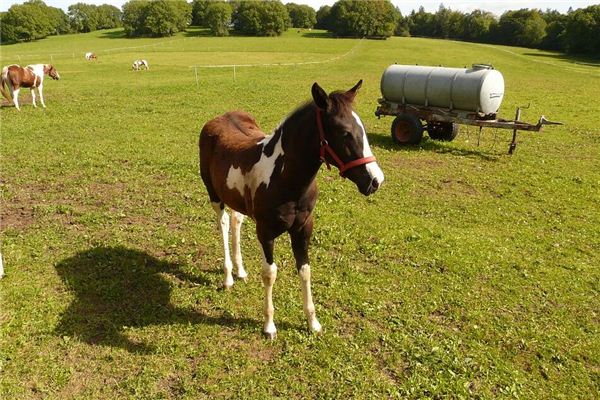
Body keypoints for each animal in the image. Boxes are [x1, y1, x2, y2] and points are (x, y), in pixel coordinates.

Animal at [198, 80, 384, 338]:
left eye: (363, 130)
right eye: (344, 132)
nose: (375, 180)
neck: (285, 178)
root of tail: (217, 119)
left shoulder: (303, 228)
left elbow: (305, 270)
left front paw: (313, 323)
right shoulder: (265, 232)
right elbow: (270, 273)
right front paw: (269, 326)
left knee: (236, 222)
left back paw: (240, 271)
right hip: (215, 196)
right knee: (224, 224)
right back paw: (228, 277)